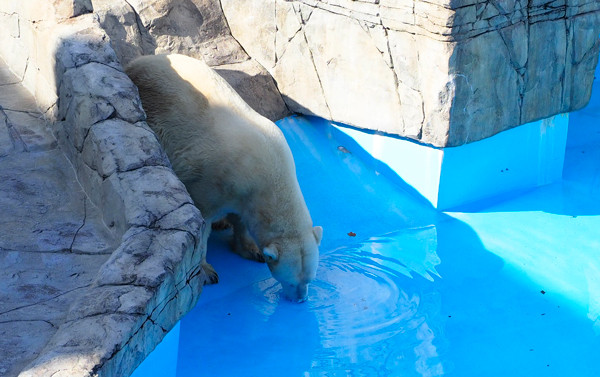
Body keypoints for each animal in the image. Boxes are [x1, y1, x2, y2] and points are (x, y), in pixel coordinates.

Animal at [126, 53, 322, 302]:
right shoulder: (212, 182)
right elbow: (202, 222)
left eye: (309, 280)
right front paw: (206, 272)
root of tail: (139, 61)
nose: (300, 299)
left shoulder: (245, 191)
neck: (270, 173)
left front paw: (251, 249)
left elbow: (242, 219)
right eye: (291, 282)